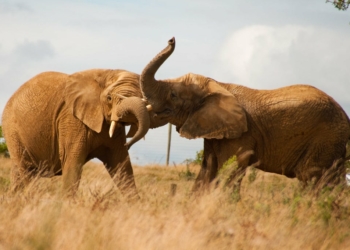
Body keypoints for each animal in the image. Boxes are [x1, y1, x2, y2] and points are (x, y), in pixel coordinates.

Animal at [1, 68, 164, 197]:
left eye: (143, 99)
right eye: (109, 98)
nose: (129, 143)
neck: (106, 72)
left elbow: (122, 166)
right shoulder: (71, 120)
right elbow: (73, 161)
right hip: (11, 129)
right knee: (26, 171)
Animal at [138, 38, 350, 191]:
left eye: (173, 95)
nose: (171, 39)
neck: (218, 85)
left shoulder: (240, 136)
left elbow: (230, 169)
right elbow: (207, 170)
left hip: (325, 138)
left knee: (312, 178)